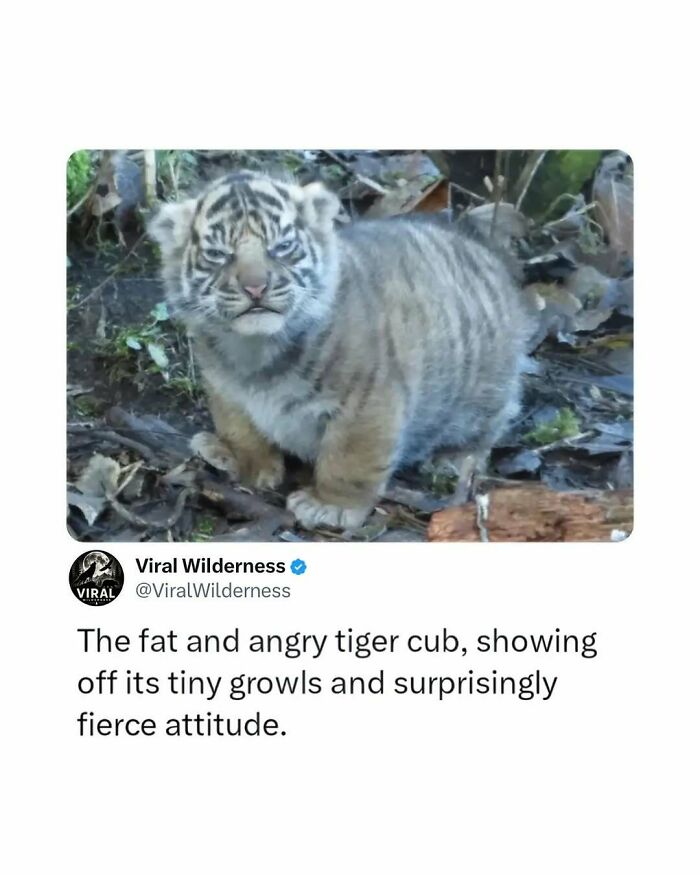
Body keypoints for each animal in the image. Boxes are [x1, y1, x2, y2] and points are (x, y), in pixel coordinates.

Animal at [148, 169, 532, 530]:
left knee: (486, 431)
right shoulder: (225, 389)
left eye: (282, 247)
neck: (256, 350)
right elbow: (240, 429)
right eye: (218, 254)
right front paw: (243, 462)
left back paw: (451, 460)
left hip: (483, 392)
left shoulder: (368, 403)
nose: (256, 287)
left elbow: (350, 459)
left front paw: (330, 506)